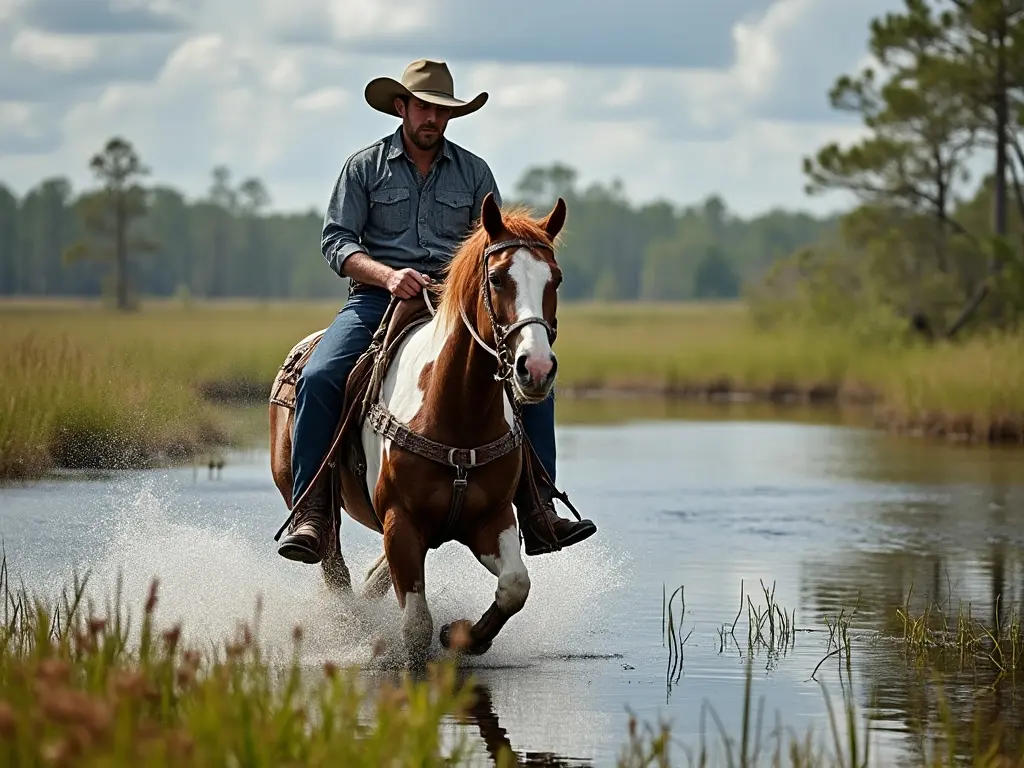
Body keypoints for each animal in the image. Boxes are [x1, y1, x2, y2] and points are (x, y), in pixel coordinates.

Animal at [339, 193, 569, 667]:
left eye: (555, 279)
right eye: (497, 278)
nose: (536, 368)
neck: (457, 413)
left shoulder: (491, 520)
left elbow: (515, 586)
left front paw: (462, 636)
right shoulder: (400, 524)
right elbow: (415, 627)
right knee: (329, 567)